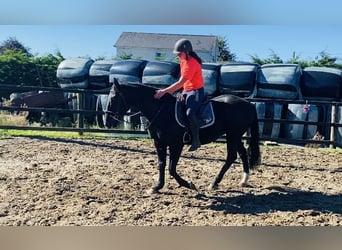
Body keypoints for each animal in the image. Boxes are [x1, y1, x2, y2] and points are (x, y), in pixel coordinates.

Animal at [105, 79, 260, 193]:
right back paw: (243, 180)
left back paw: (214, 183)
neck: (161, 110)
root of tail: (249, 104)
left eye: (114, 97)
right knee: (242, 153)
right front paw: (157, 187)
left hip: (233, 135)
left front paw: (188, 184)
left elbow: (171, 168)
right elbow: (161, 164)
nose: (107, 122)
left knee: (231, 157)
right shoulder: (159, 143)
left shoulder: (176, 144)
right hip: (234, 135)